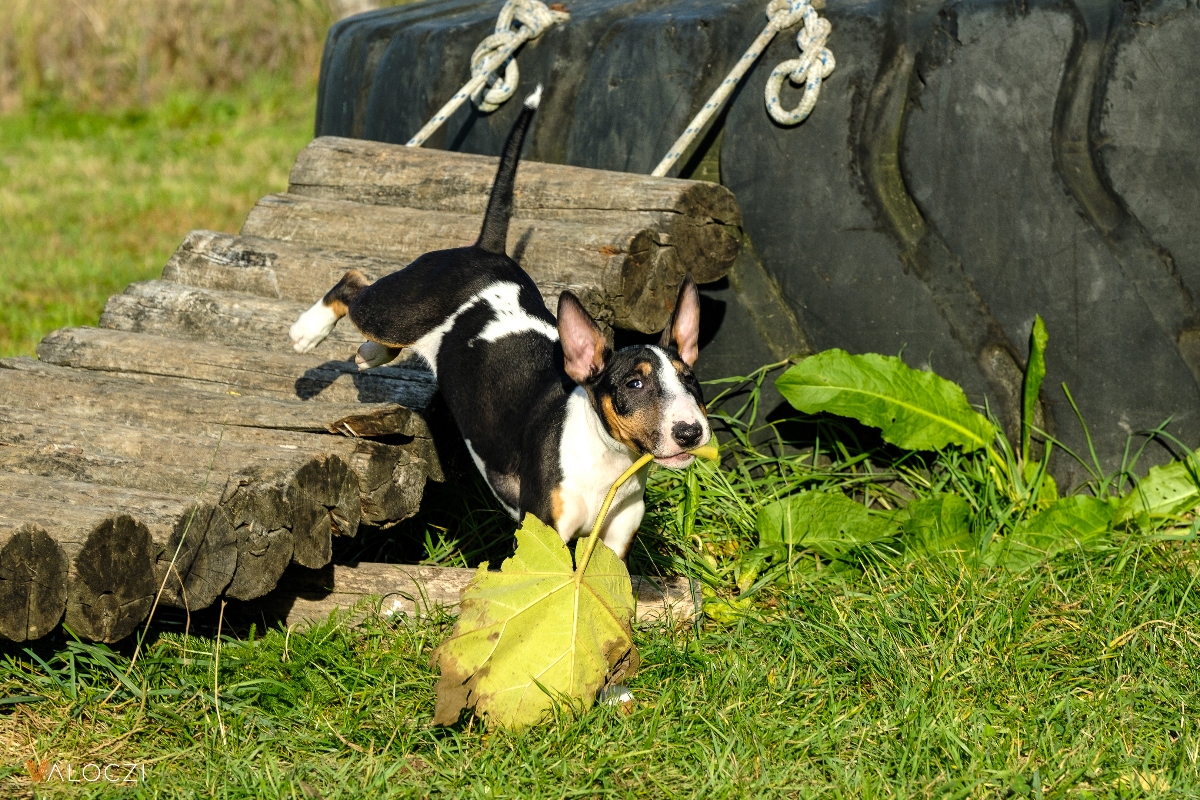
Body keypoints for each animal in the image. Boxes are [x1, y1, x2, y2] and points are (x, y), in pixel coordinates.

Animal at [288, 84, 710, 554]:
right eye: (635, 384)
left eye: (690, 379)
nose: (691, 432)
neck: (607, 466)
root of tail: (485, 250)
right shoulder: (544, 532)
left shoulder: (614, 543)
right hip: (398, 308)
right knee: (352, 283)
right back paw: (308, 332)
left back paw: (370, 353)